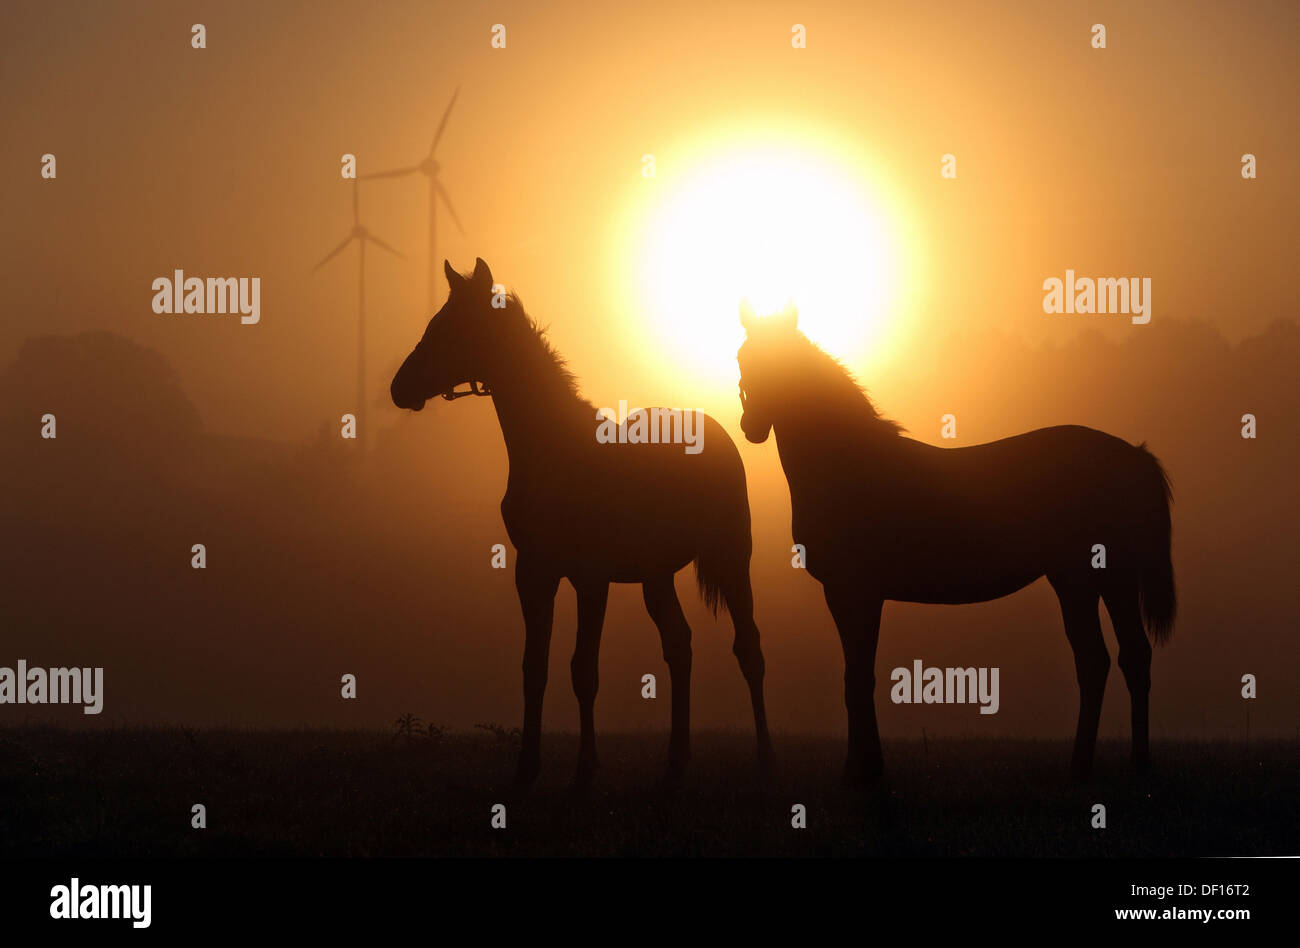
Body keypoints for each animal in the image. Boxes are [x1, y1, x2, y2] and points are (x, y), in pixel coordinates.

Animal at [390, 257, 774, 785]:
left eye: (452, 326)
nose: (399, 388)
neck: (554, 449)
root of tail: (718, 433)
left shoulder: (591, 578)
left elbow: (583, 670)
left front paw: (585, 769)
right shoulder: (533, 572)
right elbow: (535, 667)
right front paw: (526, 766)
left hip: (732, 557)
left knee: (748, 648)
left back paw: (765, 758)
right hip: (656, 576)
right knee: (679, 645)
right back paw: (675, 762)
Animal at [738, 301, 1175, 785]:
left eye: (780, 365)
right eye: (742, 358)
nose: (750, 426)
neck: (848, 466)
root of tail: (1133, 455)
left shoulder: (855, 592)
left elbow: (859, 679)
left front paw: (864, 773)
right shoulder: (849, 595)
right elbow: (857, 675)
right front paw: (863, 768)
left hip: (1093, 579)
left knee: (1111, 659)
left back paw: (1107, 767)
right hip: (1094, 582)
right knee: (1115, 659)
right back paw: (1114, 767)